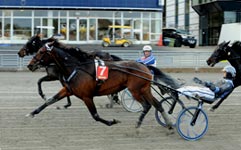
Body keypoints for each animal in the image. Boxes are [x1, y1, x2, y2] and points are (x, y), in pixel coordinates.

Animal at [27, 42, 180, 129]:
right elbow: (49, 100)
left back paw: (138, 124)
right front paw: (32, 113)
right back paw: (169, 124)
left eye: (41, 52)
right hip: (145, 89)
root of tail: (144, 66)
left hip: (135, 90)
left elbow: (95, 115)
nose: (30, 65)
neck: (77, 67)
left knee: (146, 105)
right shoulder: (68, 90)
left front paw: (112, 121)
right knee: (157, 104)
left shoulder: (87, 96)